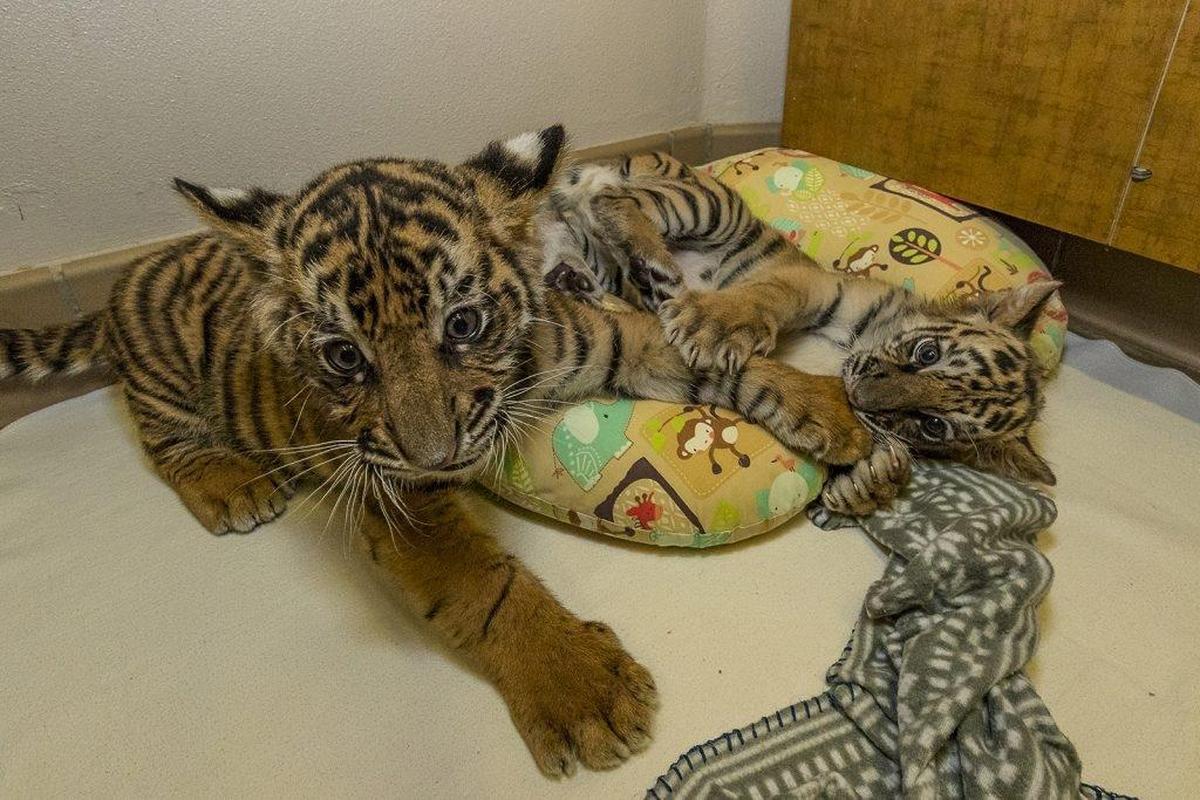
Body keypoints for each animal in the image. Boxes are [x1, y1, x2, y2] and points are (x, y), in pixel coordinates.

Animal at [0, 126, 872, 777]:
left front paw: (826, 408)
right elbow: (491, 589)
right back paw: (232, 488)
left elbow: (706, 356)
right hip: (162, 383)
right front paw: (587, 694)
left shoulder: (604, 337)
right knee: (164, 441)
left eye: (464, 323)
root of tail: (127, 280)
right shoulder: (402, 499)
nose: (434, 454)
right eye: (344, 356)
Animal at [540, 151, 1060, 515]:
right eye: (927, 352)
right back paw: (655, 261)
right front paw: (712, 327)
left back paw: (589, 279)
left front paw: (876, 479)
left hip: (614, 258)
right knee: (613, 201)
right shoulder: (817, 285)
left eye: (934, 424)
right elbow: (768, 297)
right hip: (712, 205)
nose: (860, 396)